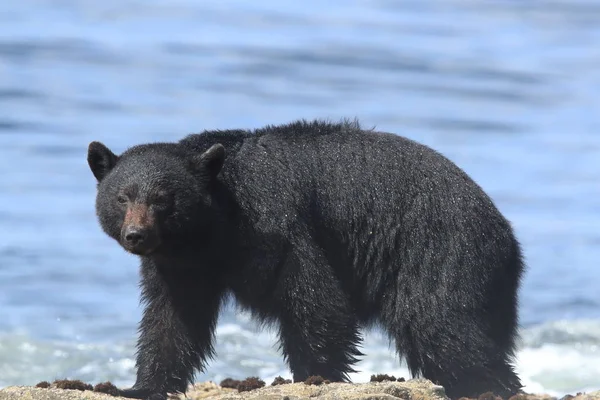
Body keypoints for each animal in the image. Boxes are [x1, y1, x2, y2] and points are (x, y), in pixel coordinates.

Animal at [86, 119, 524, 400]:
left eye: (163, 199)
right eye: (122, 197)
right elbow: (172, 320)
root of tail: (506, 232)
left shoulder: (277, 224)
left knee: (443, 326)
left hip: (439, 251)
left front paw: (317, 376)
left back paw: (491, 386)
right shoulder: (181, 265)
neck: (217, 222)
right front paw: (140, 386)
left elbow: (315, 300)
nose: (136, 235)